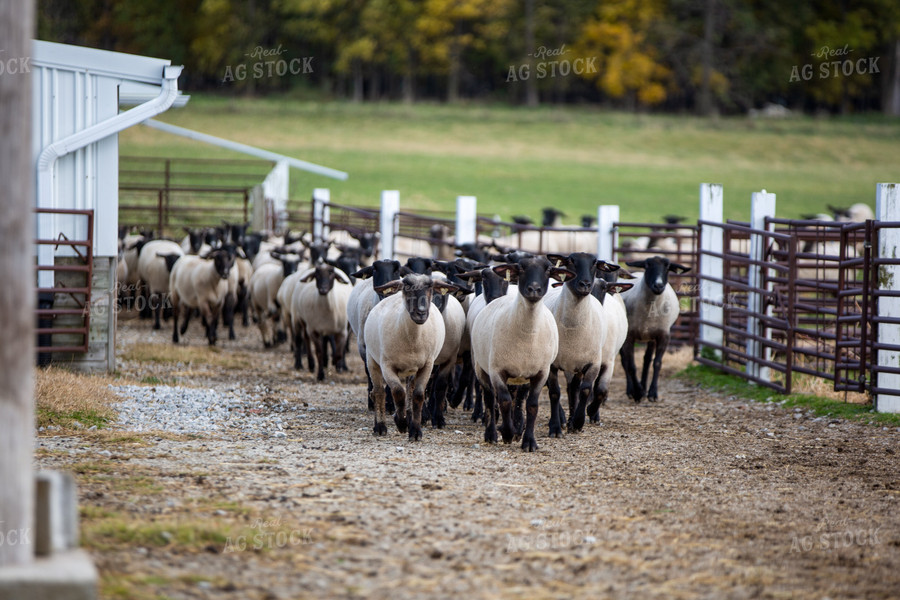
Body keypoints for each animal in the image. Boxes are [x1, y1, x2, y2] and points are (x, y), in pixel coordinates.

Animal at [362, 274, 458, 438]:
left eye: (430, 287)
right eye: (406, 287)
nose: (421, 313)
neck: (412, 340)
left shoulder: (427, 365)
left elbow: (418, 395)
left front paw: (415, 431)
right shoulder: (387, 365)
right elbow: (398, 392)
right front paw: (401, 423)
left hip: (412, 368)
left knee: (409, 390)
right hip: (372, 359)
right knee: (378, 392)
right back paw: (380, 427)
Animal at [468, 253, 572, 450]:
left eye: (548, 269)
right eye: (521, 268)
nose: (534, 289)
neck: (527, 334)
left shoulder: (541, 372)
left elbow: (531, 405)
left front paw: (528, 441)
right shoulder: (497, 370)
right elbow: (504, 401)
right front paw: (508, 433)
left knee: (517, 399)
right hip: (481, 367)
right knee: (490, 398)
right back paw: (491, 434)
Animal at [540, 251, 620, 434]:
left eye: (595, 263)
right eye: (570, 261)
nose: (585, 284)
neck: (573, 330)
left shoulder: (593, 363)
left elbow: (586, 390)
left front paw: (578, 422)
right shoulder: (552, 365)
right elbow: (554, 392)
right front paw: (555, 427)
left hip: (576, 364)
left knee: (574, 389)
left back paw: (572, 421)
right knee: (567, 389)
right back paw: (564, 420)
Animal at [620, 254, 688, 400]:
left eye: (668, 267)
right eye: (647, 265)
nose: (658, 285)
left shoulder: (663, 335)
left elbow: (657, 363)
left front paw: (652, 393)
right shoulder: (629, 336)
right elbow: (631, 366)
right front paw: (637, 393)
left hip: (650, 337)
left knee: (646, 360)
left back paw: (644, 387)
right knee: (625, 361)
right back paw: (631, 390)